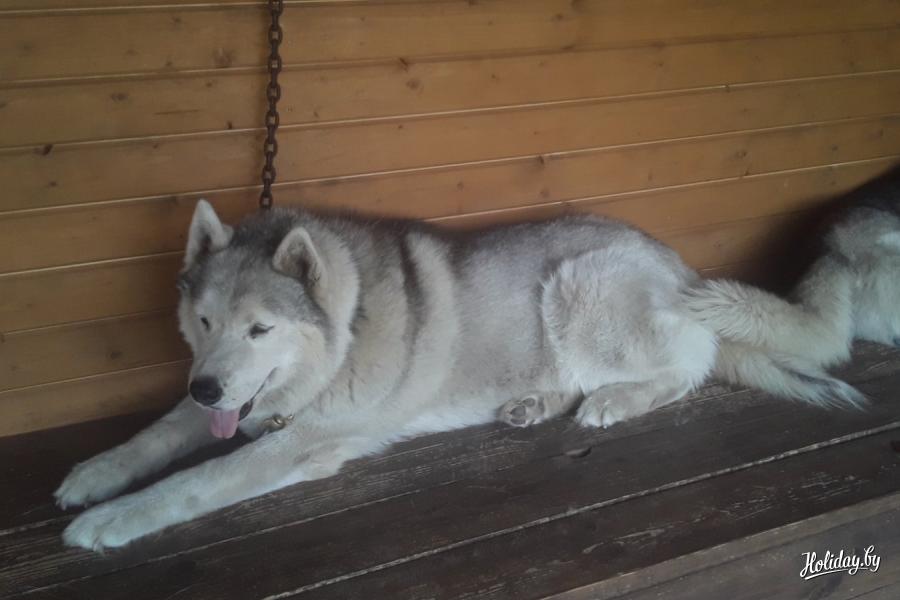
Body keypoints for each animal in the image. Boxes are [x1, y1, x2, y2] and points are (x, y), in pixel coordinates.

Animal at [55, 199, 868, 551]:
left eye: (262, 330)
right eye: (205, 323)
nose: (208, 387)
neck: (343, 330)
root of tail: (680, 267)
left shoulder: (298, 442)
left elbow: (195, 481)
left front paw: (112, 519)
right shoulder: (228, 402)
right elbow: (155, 438)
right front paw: (95, 475)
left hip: (578, 288)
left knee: (688, 364)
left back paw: (616, 400)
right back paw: (533, 403)